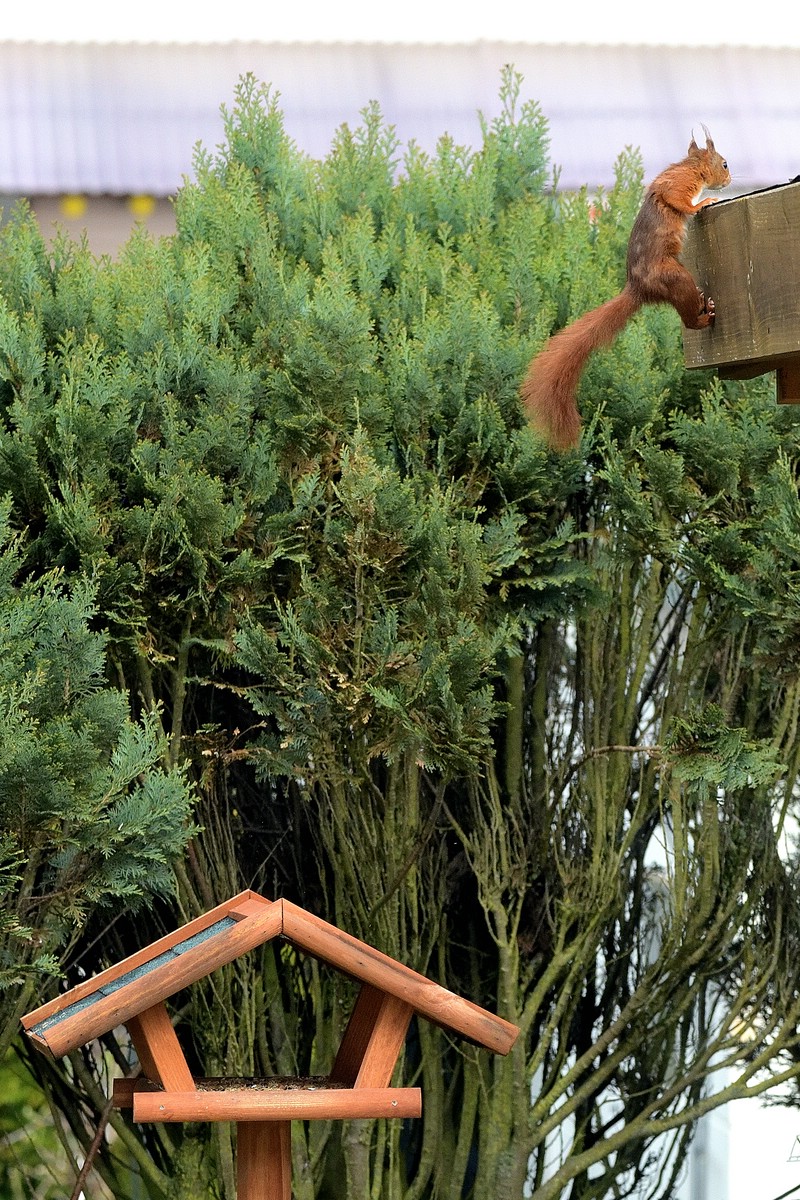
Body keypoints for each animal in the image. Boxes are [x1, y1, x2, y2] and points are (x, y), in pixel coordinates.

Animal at [520, 128, 731, 450]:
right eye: (724, 164)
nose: (730, 180)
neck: (690, 167)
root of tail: (639, 289)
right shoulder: (677, 184)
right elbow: (678, 200)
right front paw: (702, 203)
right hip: (676, 278)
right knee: (687, 318)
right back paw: (703, 315)